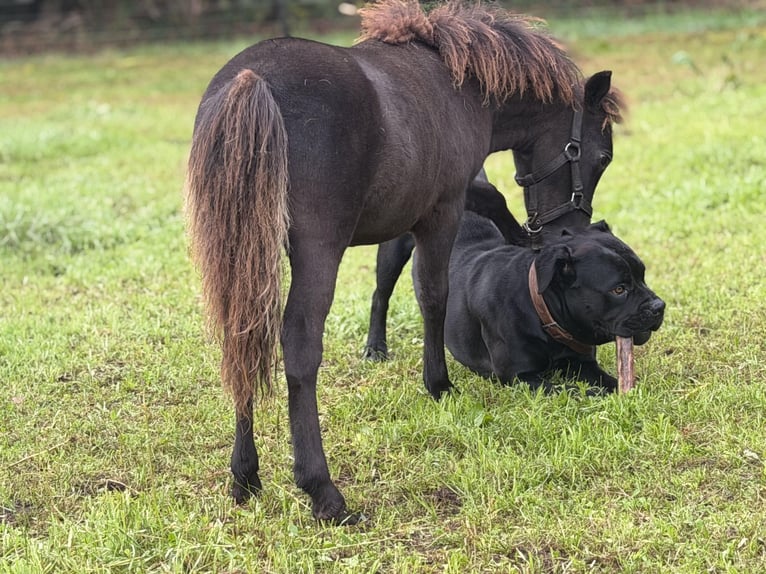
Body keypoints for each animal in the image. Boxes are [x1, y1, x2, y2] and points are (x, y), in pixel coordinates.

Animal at [185, 0, 624, 524]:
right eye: (600, 157)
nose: (568, 233)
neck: (458, 84)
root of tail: (252, 81)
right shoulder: (443, 208)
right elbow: (435, 295)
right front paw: (439, 384)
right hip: (317, 251)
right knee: (300, 346)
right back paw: (323, 490)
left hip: (244, 256)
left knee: (243, 341)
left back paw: (245, 475)